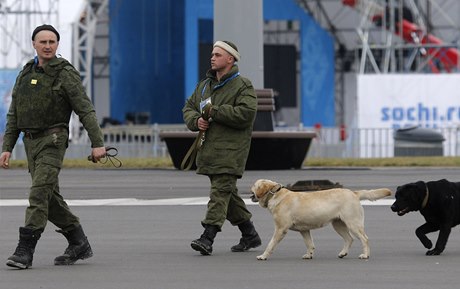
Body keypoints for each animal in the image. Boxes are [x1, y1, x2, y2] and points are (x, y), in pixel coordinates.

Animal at [252, 179, 392, 260]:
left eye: (253, 187)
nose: (250, 194)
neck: (275, 194)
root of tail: (354, 193)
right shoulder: (304, 230)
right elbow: (309, 244)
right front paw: (309, 255)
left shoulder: (280, 229)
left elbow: (270, 244)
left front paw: (263, 256)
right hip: (338, 225)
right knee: (349, 239)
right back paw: (343, 253)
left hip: (353, 224)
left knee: (364, 239)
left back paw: (365, 255)